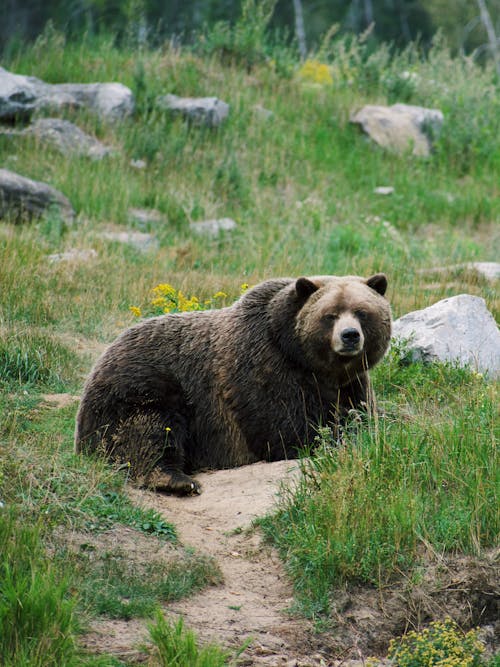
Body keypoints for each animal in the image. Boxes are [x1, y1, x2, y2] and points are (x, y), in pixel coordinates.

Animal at [76, 272, 392, 496]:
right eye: (330, 315)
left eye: (362, 312)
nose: (350, 335)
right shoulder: (264, 367)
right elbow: (285, 428)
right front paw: (327, 437)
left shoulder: (351, 384)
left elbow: (362, 415)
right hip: (142, 385)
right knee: (150, 430)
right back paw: (178, 480)